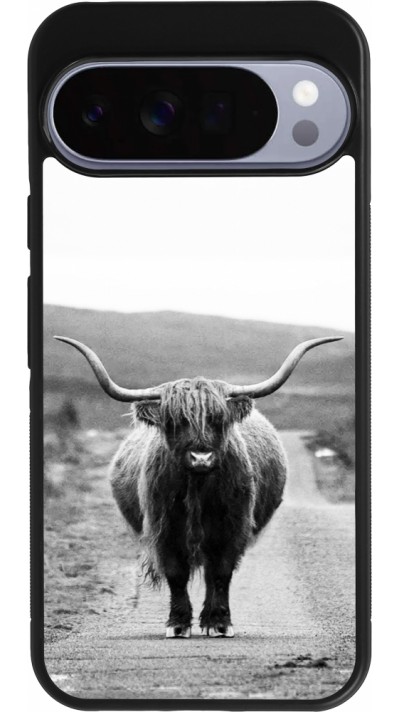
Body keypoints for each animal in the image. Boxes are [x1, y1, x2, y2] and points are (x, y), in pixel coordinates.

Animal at [55, 334, 341, 638]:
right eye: (175, 421)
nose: (201, 457)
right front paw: (178, 623)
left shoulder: (232, 527)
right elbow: (176, 574)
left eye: (218, 419)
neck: (198, 488)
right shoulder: (164, 529)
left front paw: (219, 622)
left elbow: (221, 573)